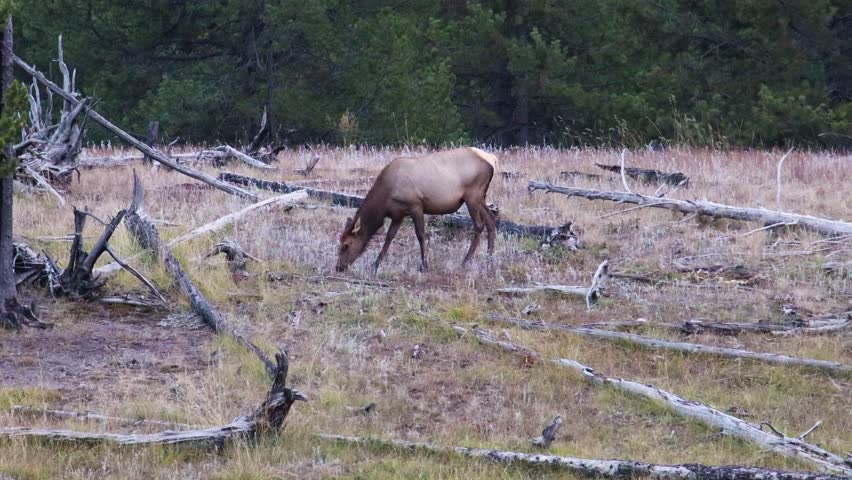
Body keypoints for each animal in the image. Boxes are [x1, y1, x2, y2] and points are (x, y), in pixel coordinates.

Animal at [336, 147, 498, 273]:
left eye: (346, 245)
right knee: (489, 220)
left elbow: (420, 235)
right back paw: (487, 258)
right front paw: (376, 264)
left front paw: (424, 265)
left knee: (481, 223)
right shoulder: (398, 214)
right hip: (479, 197)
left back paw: (469, 260)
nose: (338, 267)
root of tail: (492, 159)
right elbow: (389, 236)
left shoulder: (416, 206)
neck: (385, 199)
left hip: (473, 196)